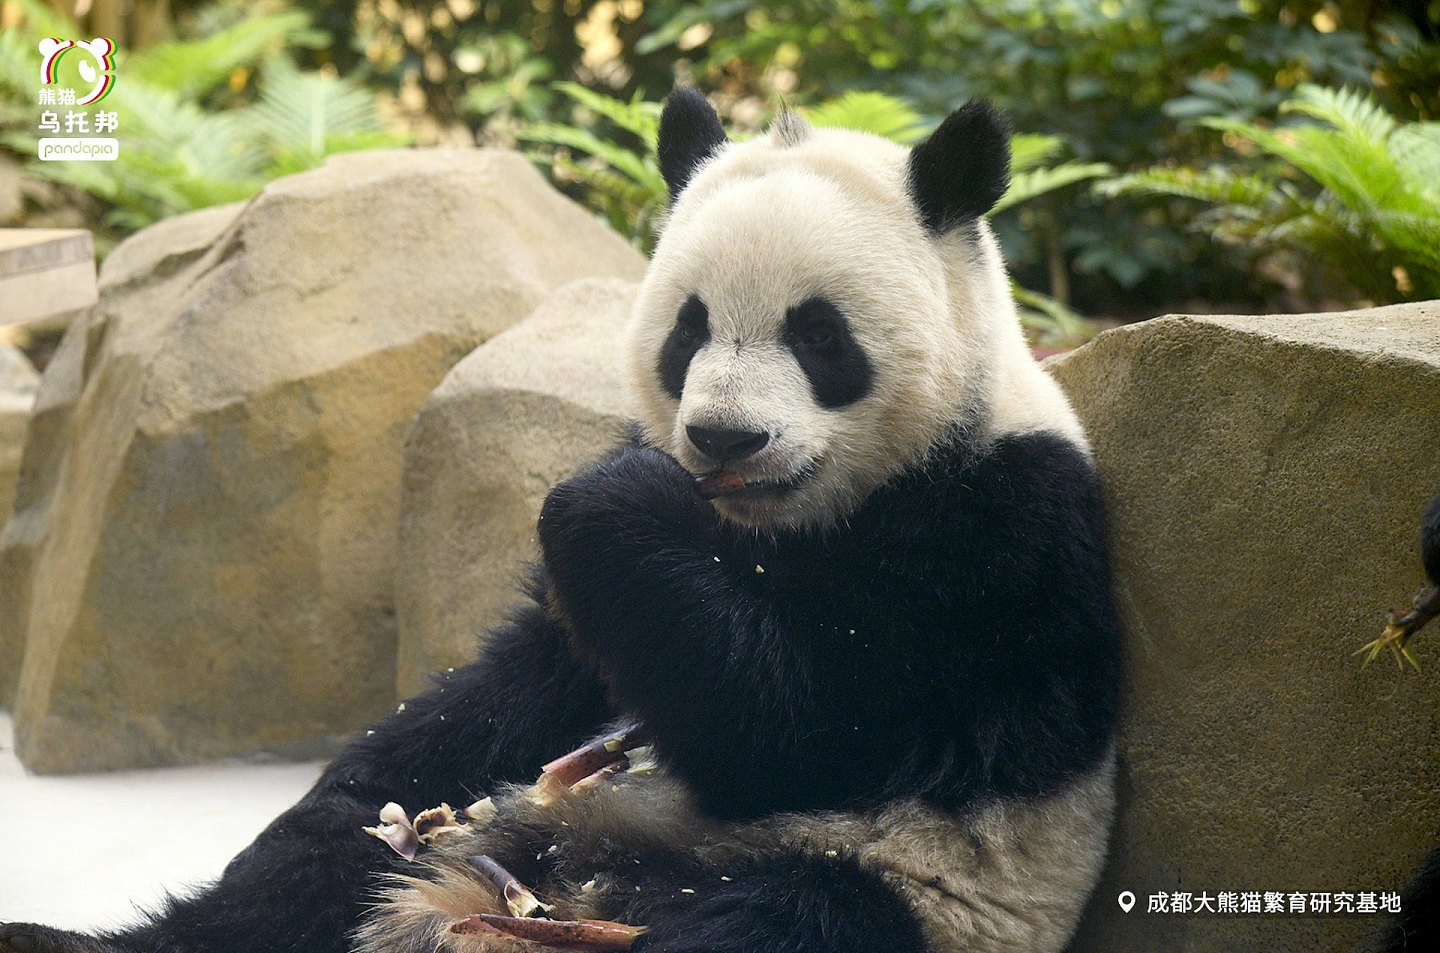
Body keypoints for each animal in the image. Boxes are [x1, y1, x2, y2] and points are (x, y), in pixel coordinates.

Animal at [0, 91, 1123, 953]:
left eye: (819, 335)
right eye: (688, 329)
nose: (722, 437)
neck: (782, 521)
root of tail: (566, 881)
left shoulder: (995, 533)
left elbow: (799, 726)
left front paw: (618, 497)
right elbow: (526, 674)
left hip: (912, 888)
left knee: (785, 916)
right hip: (484, 822)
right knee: (307, 877)